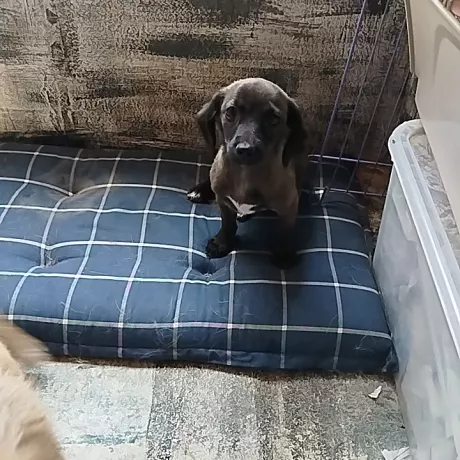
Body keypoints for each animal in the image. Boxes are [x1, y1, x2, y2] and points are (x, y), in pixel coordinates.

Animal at [187, 78, 308, 269]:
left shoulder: (289, 205)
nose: (245, 149)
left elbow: (285, 231)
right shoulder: (222, 199)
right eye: (230, 112)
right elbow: (228, 223)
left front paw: (284, 253)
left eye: (273, 118)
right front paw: (222, 242)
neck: (245, 174)